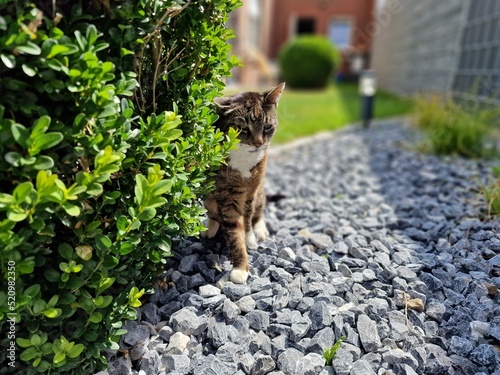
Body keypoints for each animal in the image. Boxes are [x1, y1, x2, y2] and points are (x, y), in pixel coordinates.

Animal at [200, 82, 286, 284]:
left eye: (267, 126)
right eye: (243, 128)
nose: (258, 143)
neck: (244, 157)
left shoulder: (251, 192)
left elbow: (247, 219)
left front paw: (250, 239)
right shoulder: (228, 196)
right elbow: (234, 231)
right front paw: (240, 268)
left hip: (260, 192)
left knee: (259, 211)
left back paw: (260, 230)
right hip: (208, 195)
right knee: (213, 212)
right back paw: (210, 227)